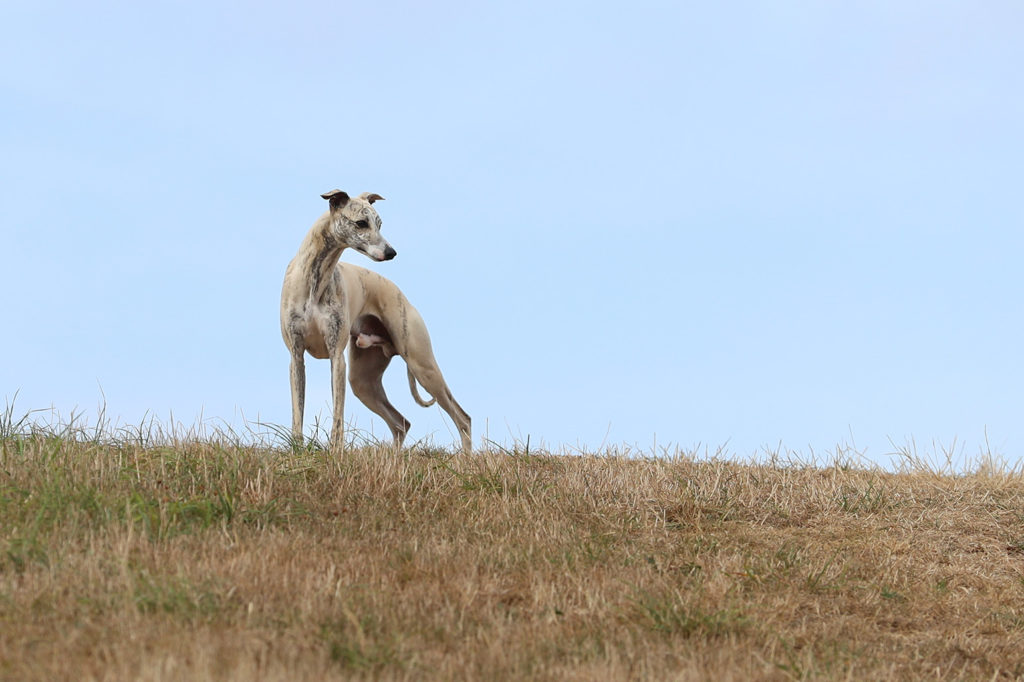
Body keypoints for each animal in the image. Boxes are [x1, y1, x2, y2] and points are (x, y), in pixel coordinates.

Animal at [280, 188, 471, 448]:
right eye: (361, 223)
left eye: (380, 224)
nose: (391, 253)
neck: (315, 280)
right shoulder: (296, 356)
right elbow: (297, 412)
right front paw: (297, 449)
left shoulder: (336, 357)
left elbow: (338, 415)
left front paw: (335, 451)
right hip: (363, 381)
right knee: (401, 423)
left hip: (423, 365)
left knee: (462, 418)